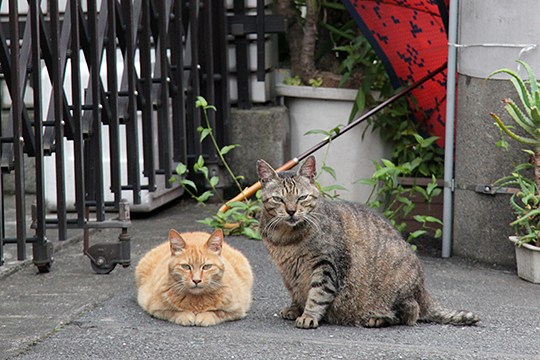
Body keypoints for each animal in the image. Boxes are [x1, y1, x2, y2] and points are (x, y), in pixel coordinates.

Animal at [258, 155, 480, 330]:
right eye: (278, 199)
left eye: (302, 197)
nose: (291, 211)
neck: (286, 238)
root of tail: (422, 288)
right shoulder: (288, 272)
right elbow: (296, 292)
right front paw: (295, 309)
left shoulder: (326, 265)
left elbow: (318, 294)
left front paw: (308, 316)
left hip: (396, 290)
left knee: (410, 313)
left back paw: (377, 319)